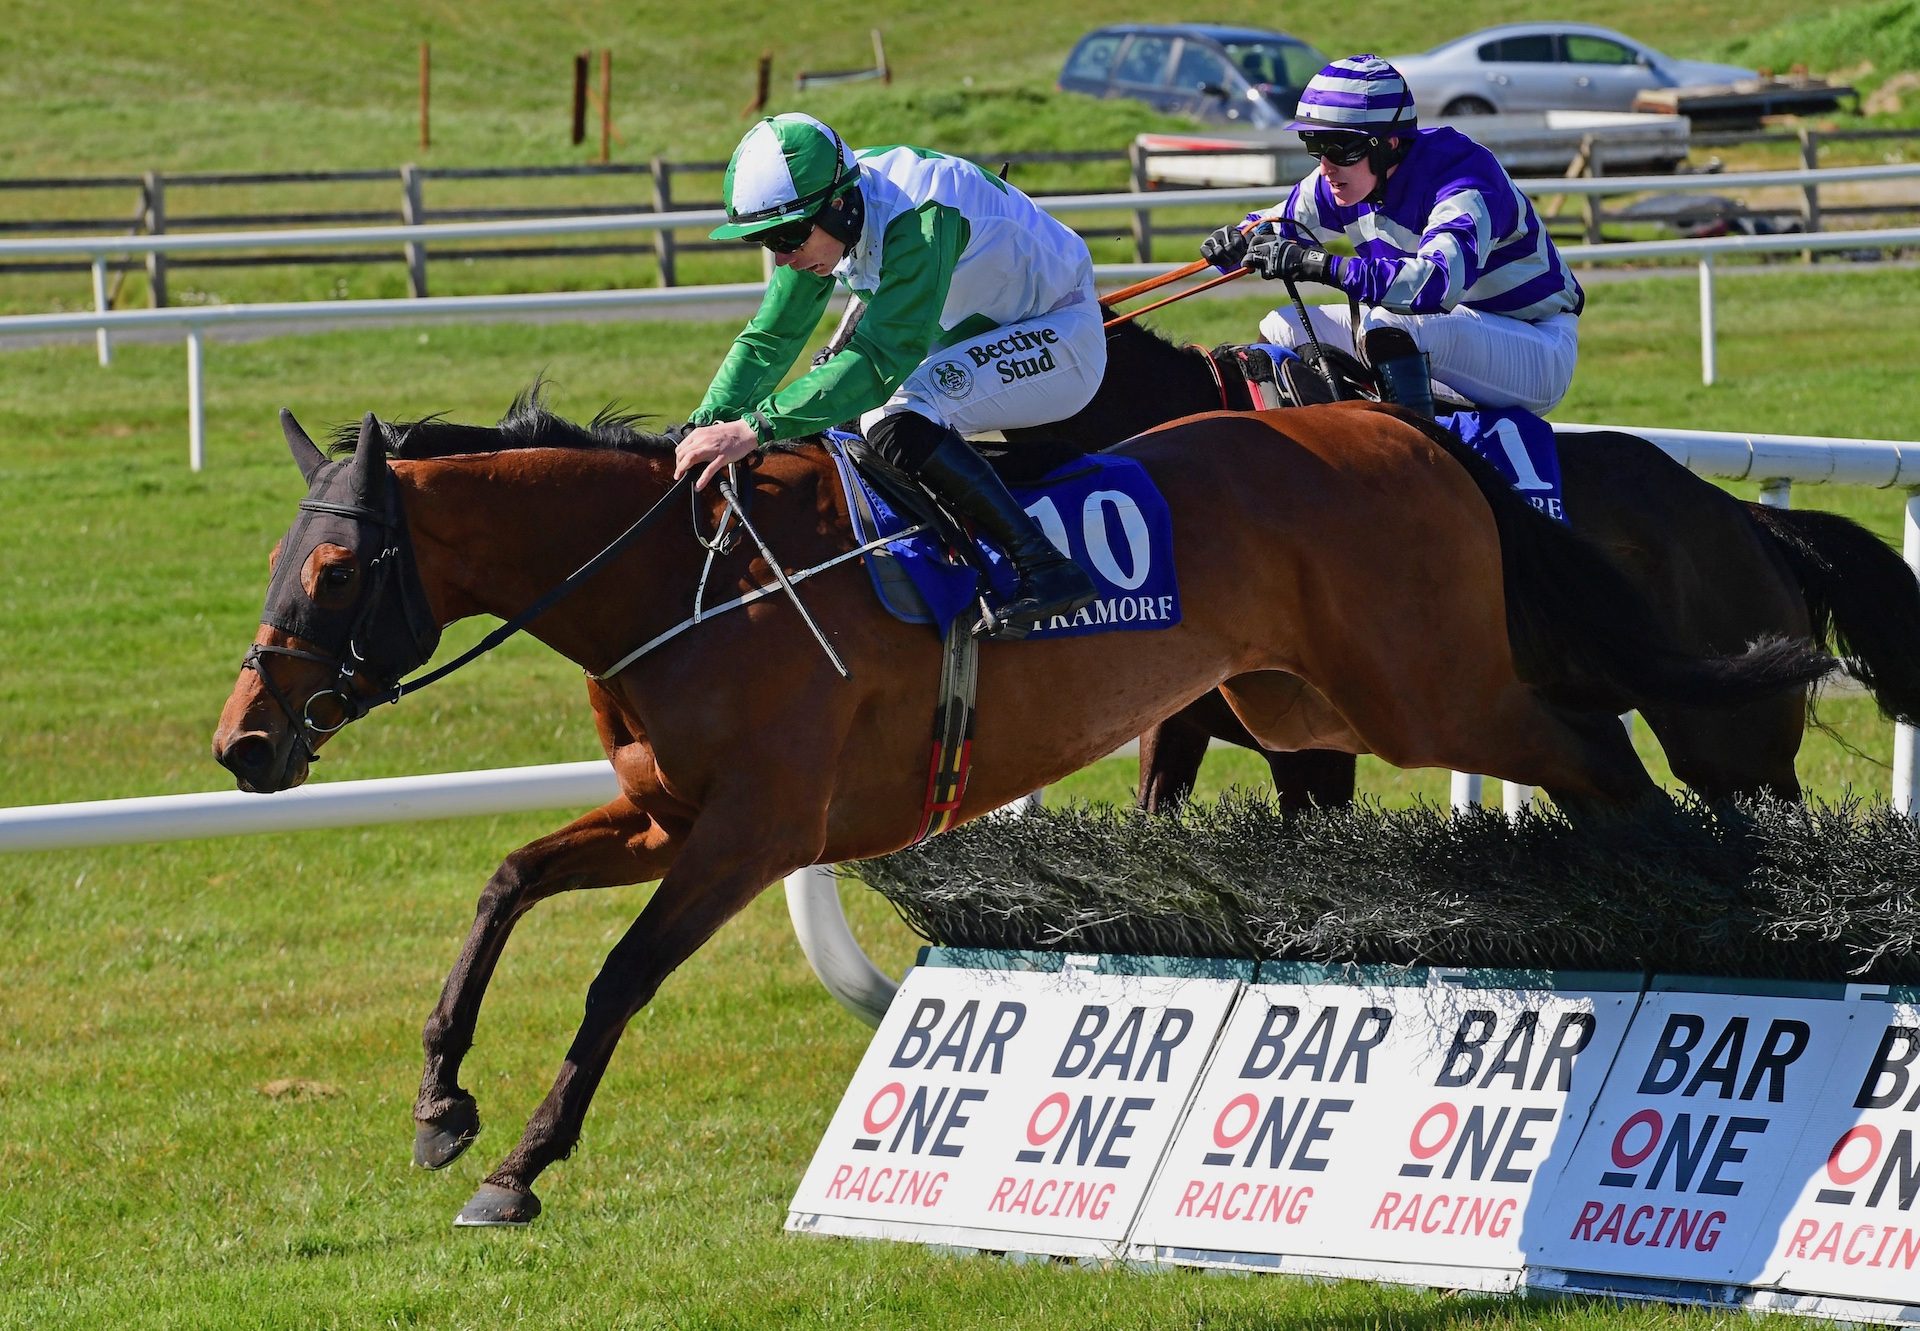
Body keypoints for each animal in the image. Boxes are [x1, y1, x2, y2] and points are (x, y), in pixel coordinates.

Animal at [210, 393, 1827, 1221]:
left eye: (338, 570)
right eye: (278, 561)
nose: (243, 744)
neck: (683, 583)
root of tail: (1408, 428)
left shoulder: (753, 834)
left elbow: (615, 977)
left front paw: (521, 1163)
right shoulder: (667, 819)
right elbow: (503, 883)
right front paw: (441, 1099)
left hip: (1434, 691)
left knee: (1608, 755)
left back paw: (1699, 919)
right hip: (1315, 701)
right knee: (1590, 750)